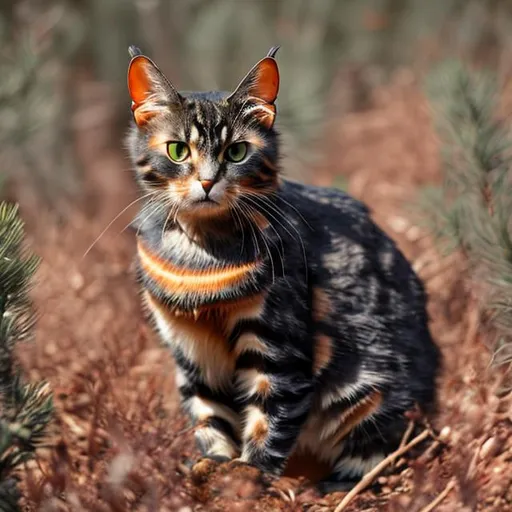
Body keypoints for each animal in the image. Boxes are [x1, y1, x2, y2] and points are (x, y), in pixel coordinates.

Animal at [125, 46, 440, 494]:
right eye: (177, 151)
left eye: (236, 152)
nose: (207, 182)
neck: (199, 257)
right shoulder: (190, 350)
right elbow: (208, 414)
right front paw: (213, 464)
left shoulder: (279, 347)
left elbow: (269, 415)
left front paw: (248, 474)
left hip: (368, 392)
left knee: (376, 456)